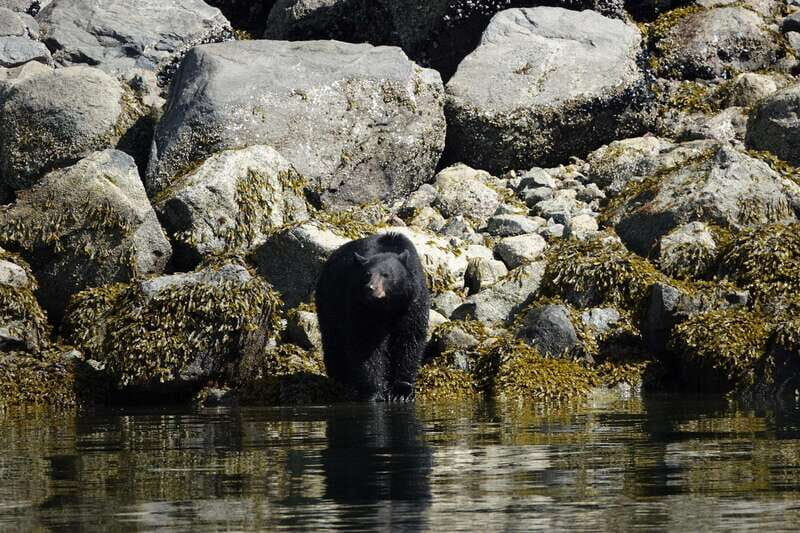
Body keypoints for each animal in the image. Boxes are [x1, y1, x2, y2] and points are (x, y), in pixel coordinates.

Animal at [315, 232, 429, 401]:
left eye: (386, 274)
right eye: (367, 274)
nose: (370, 288)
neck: (387, 305)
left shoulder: (412, 303)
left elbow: (409, 338)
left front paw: (401, 391)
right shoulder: (361, 307)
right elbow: (366, 342)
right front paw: (375, 392)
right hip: (329, 303)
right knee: (333, 340)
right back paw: (341, 379)